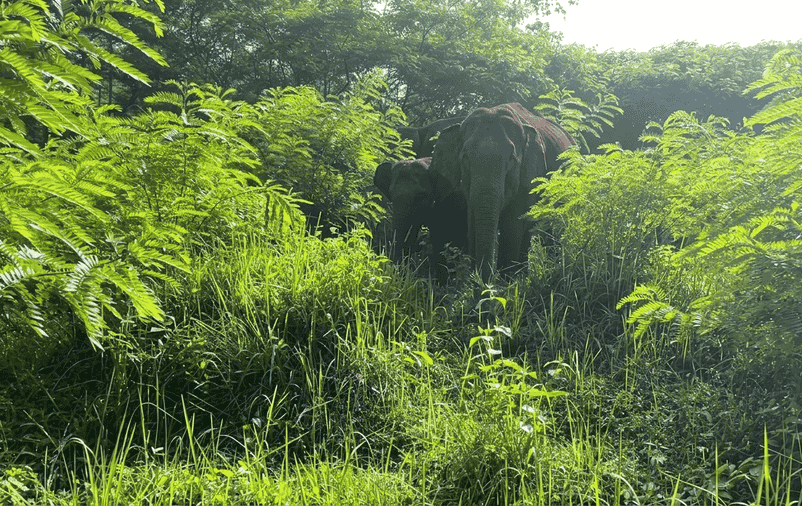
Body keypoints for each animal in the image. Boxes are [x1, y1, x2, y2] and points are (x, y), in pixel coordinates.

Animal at [430, 103, 575, 282]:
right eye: (464, 158)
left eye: (511, 159)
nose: (481, 280)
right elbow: (472, 220)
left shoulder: (528, 177)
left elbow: (512, 226)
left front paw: (506, 283)